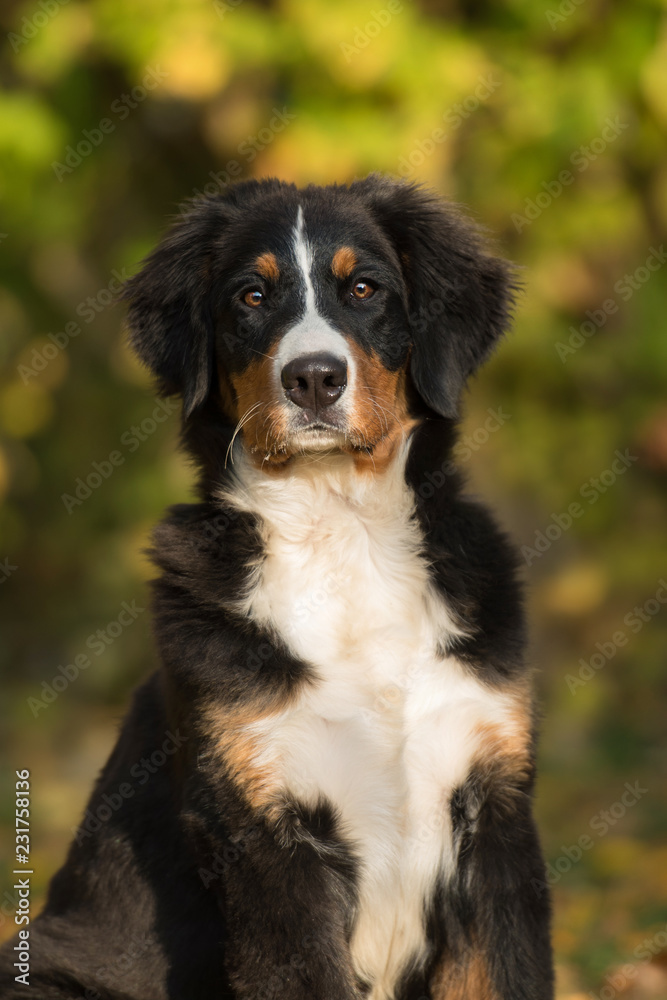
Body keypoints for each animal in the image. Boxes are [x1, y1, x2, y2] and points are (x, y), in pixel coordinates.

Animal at [0, 178, 552, 1000]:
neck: (342, 531)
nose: (314, 378)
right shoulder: (262, 836)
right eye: (252, 296)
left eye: (364, 288)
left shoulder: (493, 809)